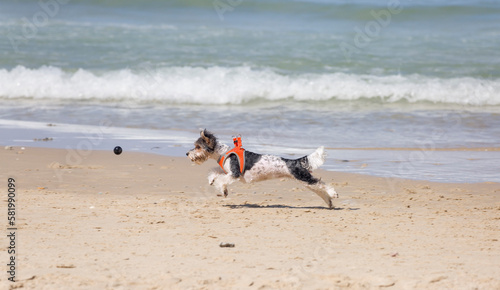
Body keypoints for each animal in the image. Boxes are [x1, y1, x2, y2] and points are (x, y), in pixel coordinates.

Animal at [186, 129, 338, 208]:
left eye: (198, 147)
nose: (187, 154)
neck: (223, 153)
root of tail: (295, 161)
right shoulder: (229, 172)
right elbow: (215, 171)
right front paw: (212, 180)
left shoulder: (234, 174)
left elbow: (221, 179)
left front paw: (222, 189)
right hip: (304, 180)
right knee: (319, 188)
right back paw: (329, 201)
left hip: (304, 177)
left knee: (321, 184)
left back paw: (333, 194)